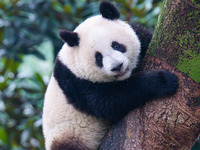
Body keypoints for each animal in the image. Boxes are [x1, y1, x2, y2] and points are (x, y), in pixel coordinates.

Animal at [42, 1, 178, 150]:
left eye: (117, 45)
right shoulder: (77, 82)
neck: (72, 58)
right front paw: (164, 81)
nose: (117, 66)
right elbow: (109, 101)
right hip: (68, 134)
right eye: (98, 57)